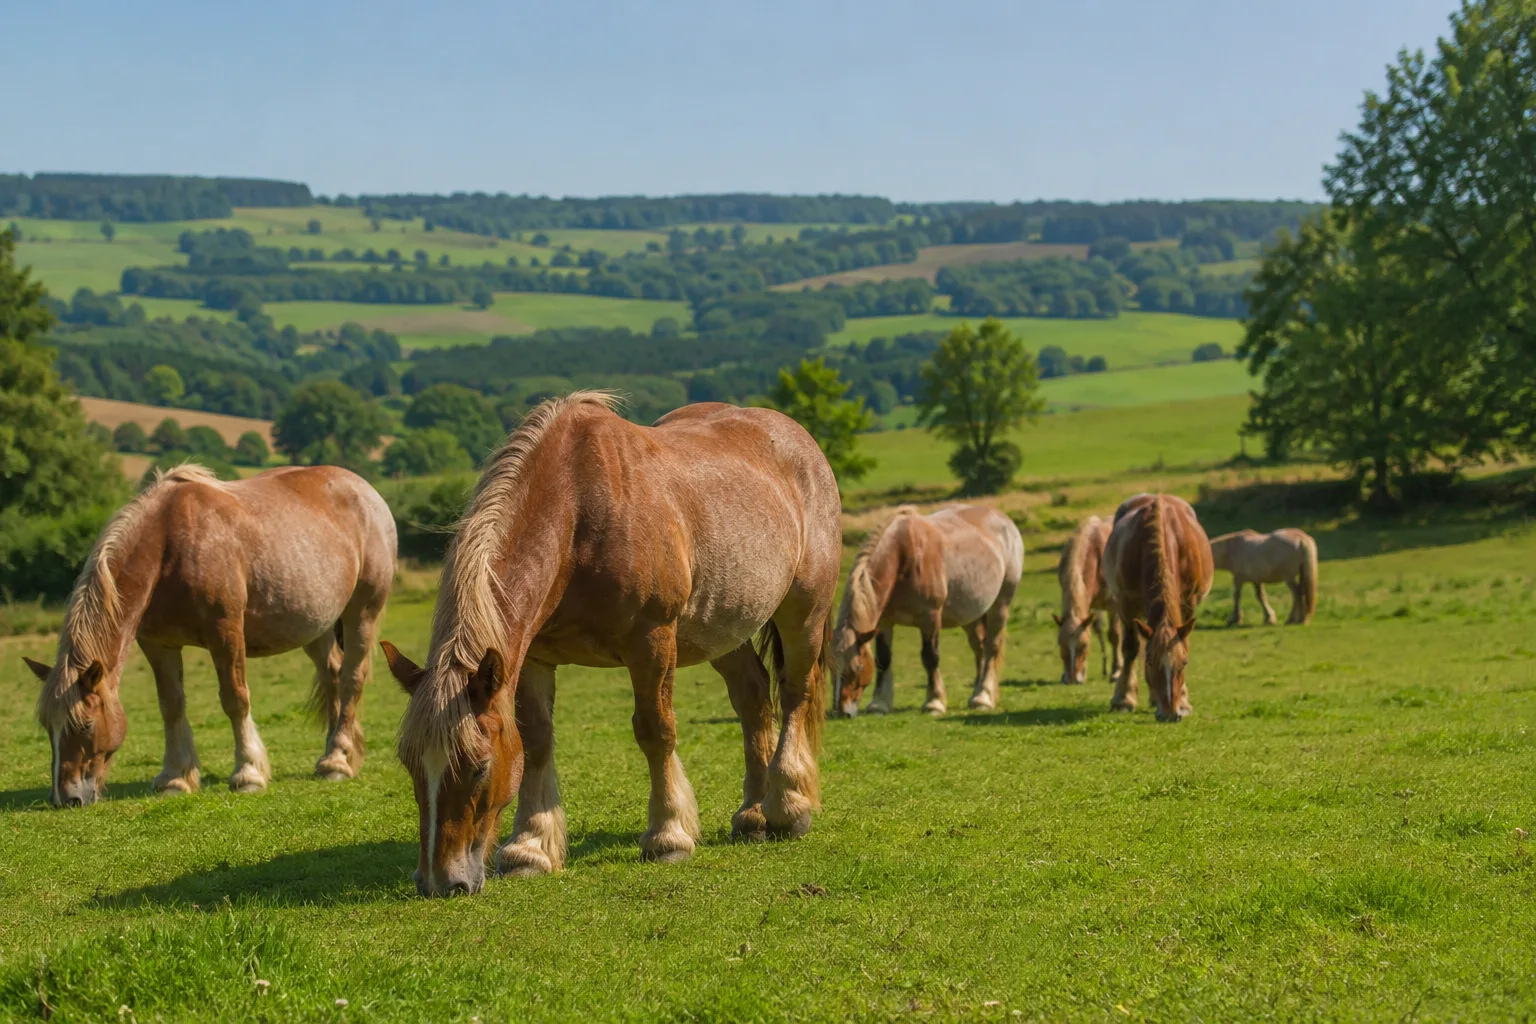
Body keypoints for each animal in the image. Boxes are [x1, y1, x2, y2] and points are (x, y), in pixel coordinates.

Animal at [25, 464, 396, 807]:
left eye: (84, 725)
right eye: (47, 727)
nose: (65, 798)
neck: (169, 545)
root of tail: (366, 492)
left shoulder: (226, 634)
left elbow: (235, 699)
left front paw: (248, 773)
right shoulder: (158, 644)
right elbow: (171, 706)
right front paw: (175, 778)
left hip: (362, 613)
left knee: (350, 679)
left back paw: (338, 761)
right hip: (316, 625)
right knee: (332, 675)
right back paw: (331, 755)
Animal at [381, 393, 841, 897]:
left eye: (479, 766)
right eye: (409, 764)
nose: (439, 882)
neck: (579, 514)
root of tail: (797, 439)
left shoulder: (652, 641)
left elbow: (655, 732)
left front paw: (668, 836)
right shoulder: (532, 657)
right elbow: (537, 740)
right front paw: (530, 848)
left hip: (804, 611)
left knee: (795, 693)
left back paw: (787, 807)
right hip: (724, 629)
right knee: (754, 698)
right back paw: (753, 815)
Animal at [832, 504, 1023, 718]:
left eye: (857, 666)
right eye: (830, 668)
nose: (841, 711)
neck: (904, 555)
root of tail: (1003, 518)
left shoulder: (929, 618)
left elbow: (930, 657)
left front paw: (934, 702)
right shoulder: (885, 622)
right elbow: (883, 659)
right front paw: (879, 704)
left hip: (999, 606)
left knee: (991, 648)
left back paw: (983, 698)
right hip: (971, 616)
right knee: (979, 648)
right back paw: (976, 695)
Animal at [1052, 515, 1121, 685]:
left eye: (1084, 646)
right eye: (1060, 644)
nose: (1072, 679)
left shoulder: (1115, 605)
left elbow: (1114, 635)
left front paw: (1116, 672)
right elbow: (1096, 629)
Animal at [1103, 494, 1213, 722]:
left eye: (1184, 664)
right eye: (1151, 663)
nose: (1170, 714)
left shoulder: (1189, 602)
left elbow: (1184, 643)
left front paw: (1183, 701)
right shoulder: (1126, 604)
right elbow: (1131, 648)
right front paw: (1123, 699)